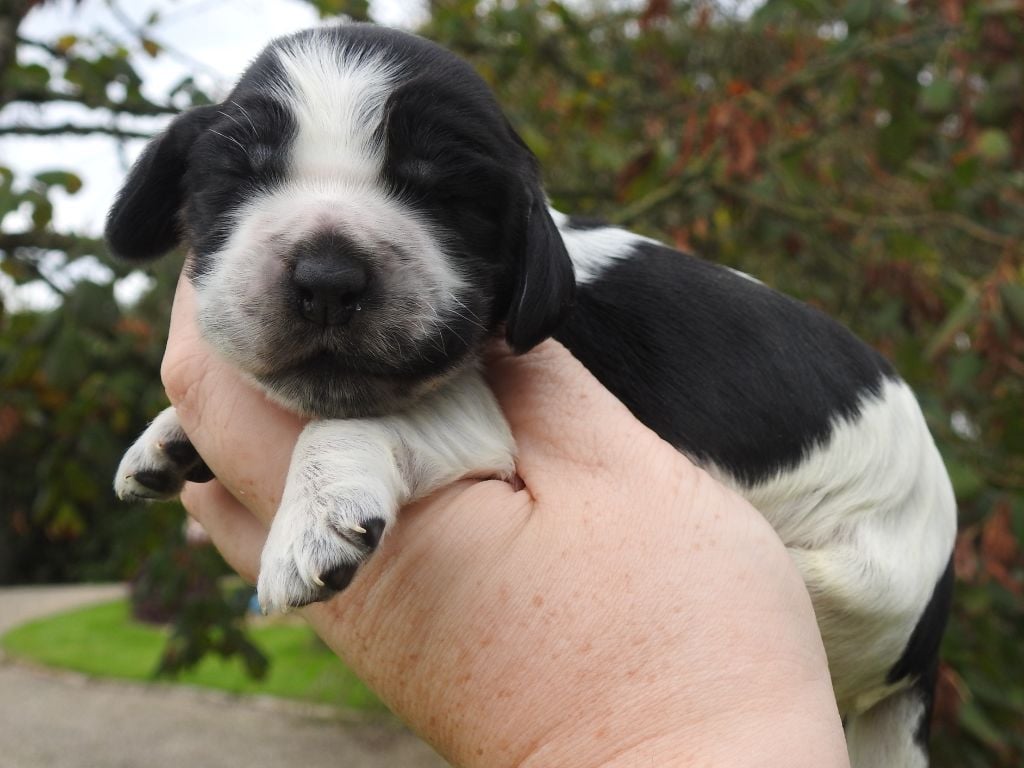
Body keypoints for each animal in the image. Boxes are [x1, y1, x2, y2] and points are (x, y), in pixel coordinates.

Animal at [110, 24, 958, 768]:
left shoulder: (483, 416)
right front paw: (168, 437)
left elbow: (356, 422)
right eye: (241, 178)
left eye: (442, 195)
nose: (327, 278)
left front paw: (318, 511)